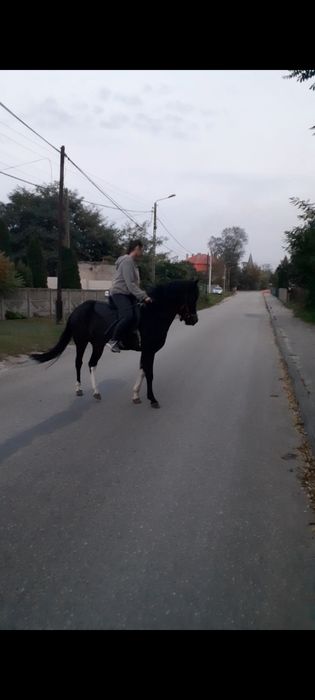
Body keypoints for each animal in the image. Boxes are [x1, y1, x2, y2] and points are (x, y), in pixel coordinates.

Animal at [31, 278, 200, 408]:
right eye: (192, 298)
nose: (194, 320)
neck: (153, 314)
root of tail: (76, 310)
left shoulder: (146, 351)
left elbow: (143, 371)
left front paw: (136, 395)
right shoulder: (149, 350)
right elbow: (149, 373)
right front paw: (152, 399)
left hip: (97, 344)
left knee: (91, 364)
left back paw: (96, 392)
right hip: (81, 342)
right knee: (79, 363)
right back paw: (80, 389)